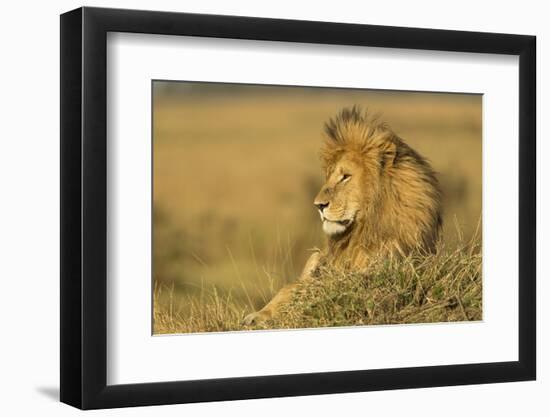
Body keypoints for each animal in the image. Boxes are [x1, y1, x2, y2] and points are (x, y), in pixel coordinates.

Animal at [246, 105, 444, 324]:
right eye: (330, 176)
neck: (364, 230)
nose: (318, 205)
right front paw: (258, 315)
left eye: (345, 176)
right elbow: (291, 289)